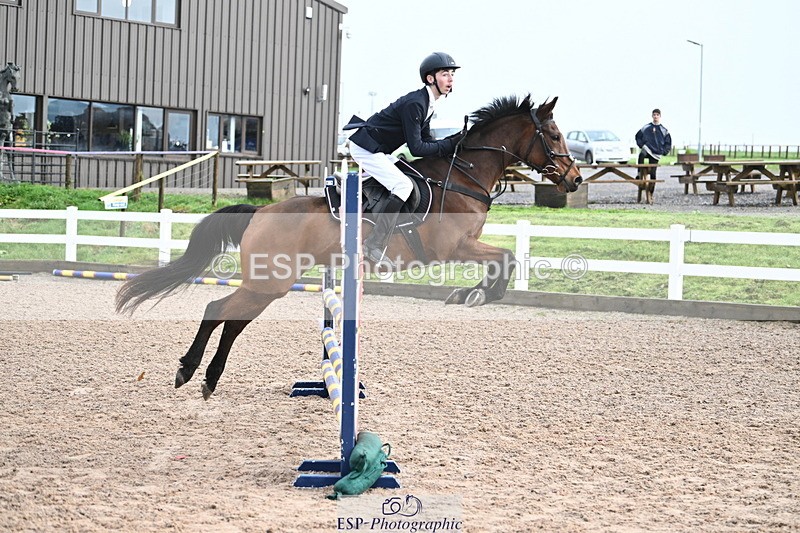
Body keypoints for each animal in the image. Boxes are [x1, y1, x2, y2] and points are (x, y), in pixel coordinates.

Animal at [116, 94, 583, 399]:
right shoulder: (453, 248)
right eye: (554, 134)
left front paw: (474, 292)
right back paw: (195, 373)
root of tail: (261, 211)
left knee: (228, 319)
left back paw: (201, 375)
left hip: (269, 283)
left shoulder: (467, 245)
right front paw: (476, 294)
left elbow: (505, 258)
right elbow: (505, 259)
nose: (575, 179)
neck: (463, 175)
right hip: (271, 282)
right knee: (221, 313)